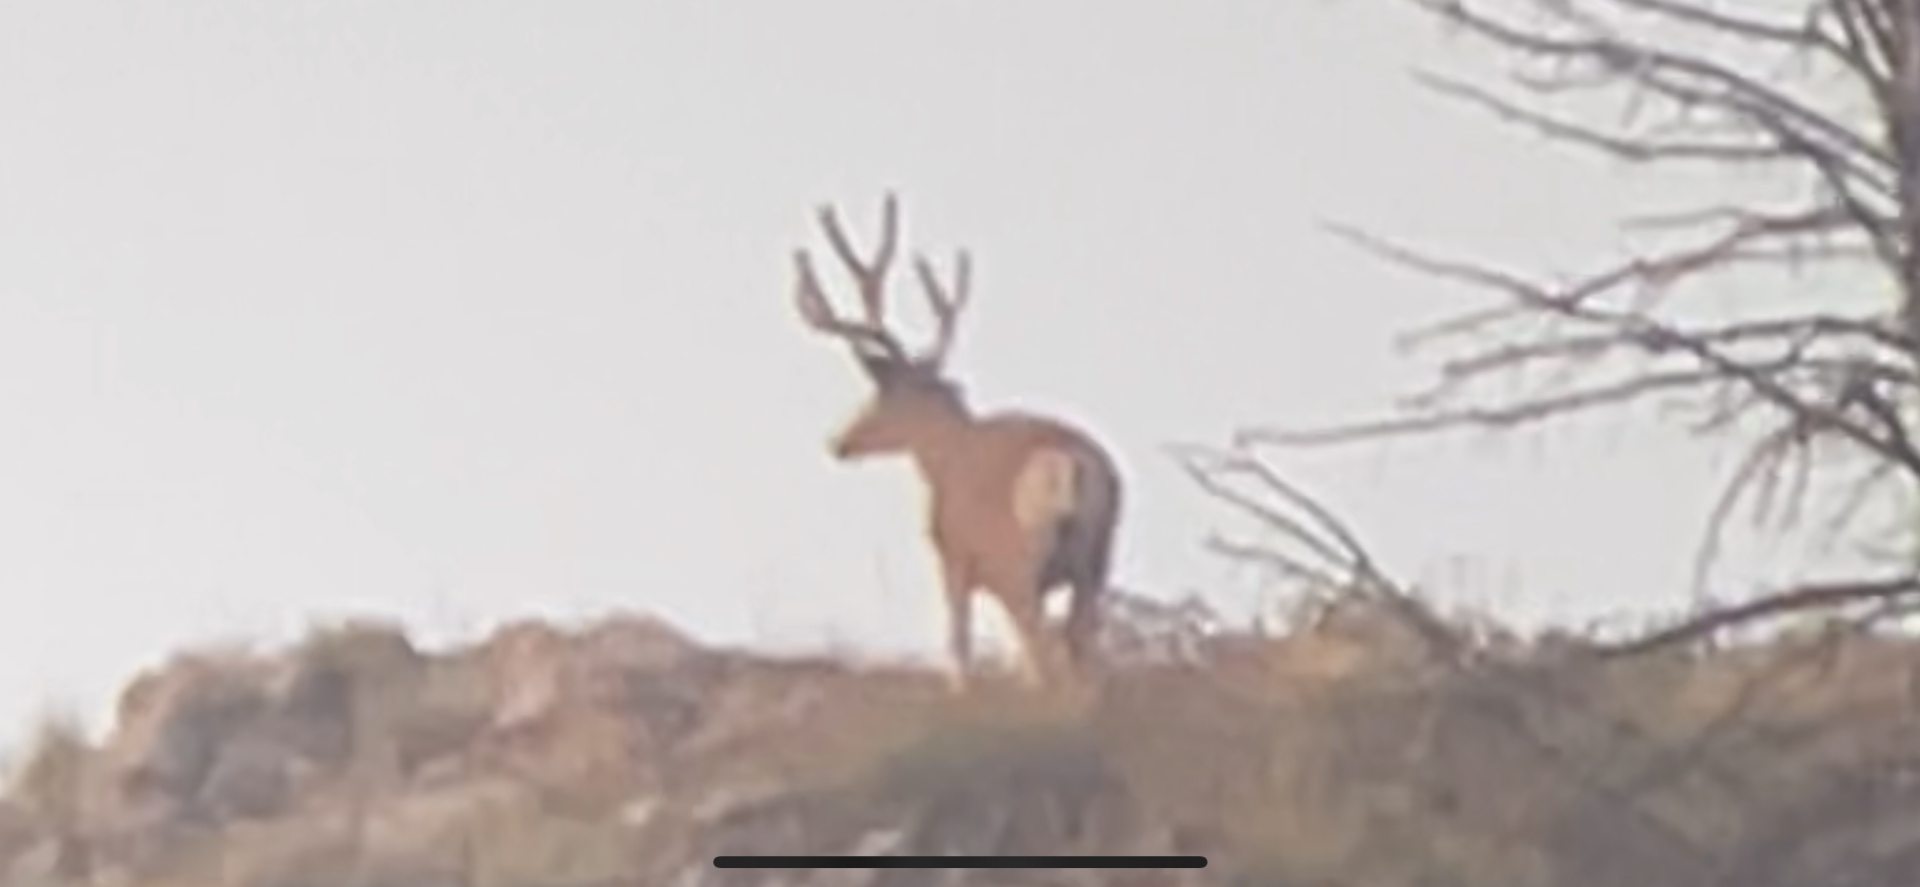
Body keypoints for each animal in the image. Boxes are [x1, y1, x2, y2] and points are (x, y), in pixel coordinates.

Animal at [788, 192, 1125, 694]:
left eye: (880, 394)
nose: (838, 441)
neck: (943, 459)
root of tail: (1070, 461)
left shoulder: (954, 561)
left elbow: (958, 653)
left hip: (1020, 564)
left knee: (1041, 655)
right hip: (1097, 562)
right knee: (1085, 658)